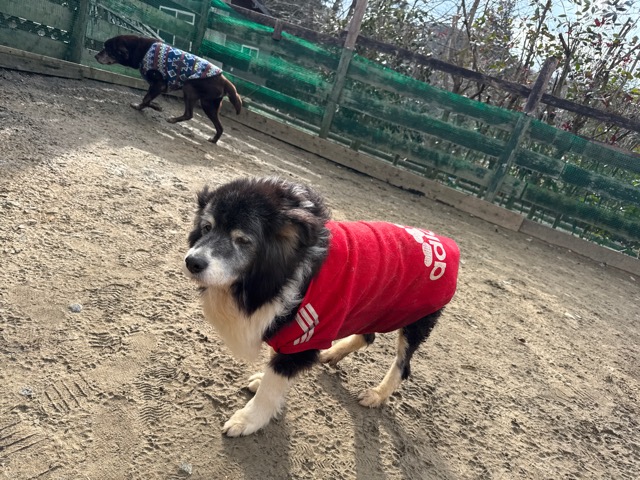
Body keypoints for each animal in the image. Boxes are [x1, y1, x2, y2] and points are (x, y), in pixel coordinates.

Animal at [95, 35, 242, 143]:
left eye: (108, 50)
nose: (96, 56)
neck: (141, 50)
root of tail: (225, 80)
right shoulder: (155, 86)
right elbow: (147, 99)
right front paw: (153, 106)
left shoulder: (159, 85)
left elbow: (146, 99)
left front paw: (148, 107)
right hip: (210, 105)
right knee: (220, 127)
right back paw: (213, 140)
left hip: (189, 89)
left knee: (189, 114)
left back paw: (172, 120)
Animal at [183, 177, 460, 437]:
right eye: (206, 227)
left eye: (242, 240)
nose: (192, 262)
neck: (283, 272)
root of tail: (447, 243)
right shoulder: (291, 330)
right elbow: (275, 365)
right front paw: (262, 379)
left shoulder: (305, 335)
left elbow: (273, 383)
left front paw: (248, 419)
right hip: (369, 306)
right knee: (368, 335)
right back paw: (333, 353)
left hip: (415, 320)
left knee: (403, 365)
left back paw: (376, 395)